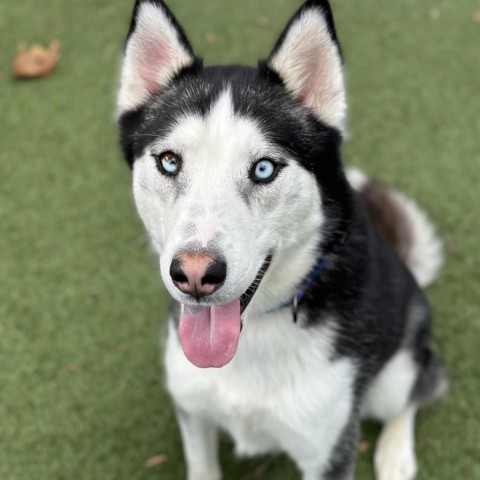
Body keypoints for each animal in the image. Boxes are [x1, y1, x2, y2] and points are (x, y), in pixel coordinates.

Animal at [118, 1, 448, 478]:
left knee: (421, 386)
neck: (256, 329)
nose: (195, 275)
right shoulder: (193, 411)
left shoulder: (329, 451)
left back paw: (395, 453)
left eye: (263, 169)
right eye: (169, 161)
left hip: (395, 372)